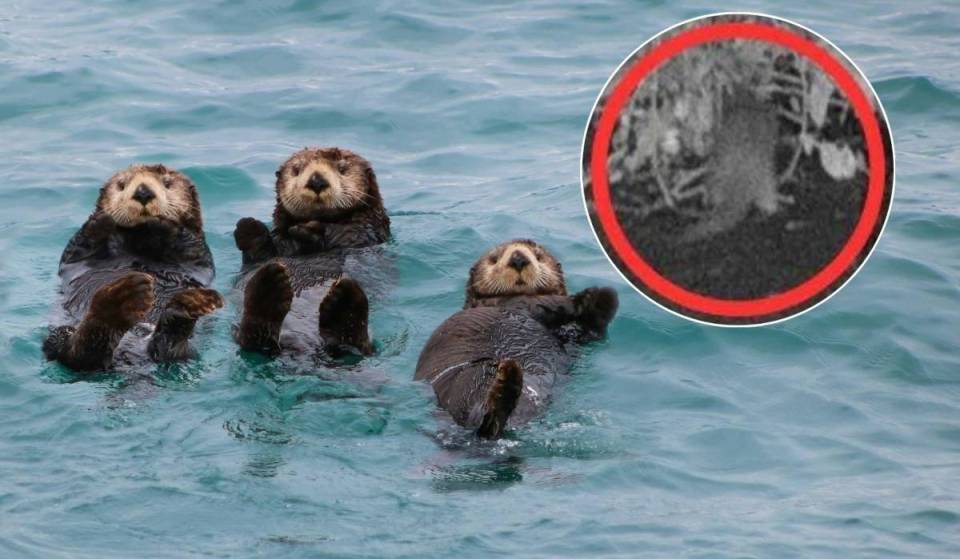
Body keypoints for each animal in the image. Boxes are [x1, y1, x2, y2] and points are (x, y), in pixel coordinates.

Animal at [43, 164, 222, 372]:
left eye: (167, 183)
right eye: (122, 184)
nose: (143, 192)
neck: (139, 240)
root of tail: (131, 355)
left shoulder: (198, 253)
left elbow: (189, 244)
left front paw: (162, 223)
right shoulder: (75, 256)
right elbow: (78, 246)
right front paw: (102, 219)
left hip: (188, 352)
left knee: (168, 351)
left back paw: (183, 308)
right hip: (58, 335)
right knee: (76, 354)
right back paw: (121, 301)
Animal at [232, 147, 390, 357]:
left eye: (342, 168)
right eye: (296, 169)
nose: (316, 181)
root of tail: (302, 345)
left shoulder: (364, 232)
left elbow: (345, 234)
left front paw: (308, 231)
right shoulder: (275, 247)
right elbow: (261, 253)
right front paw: (248, 227)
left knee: (358, 345)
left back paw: (344, 301)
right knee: (253, 338)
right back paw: (269, 285)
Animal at [414, 240, 618, 439]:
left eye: (538, 256)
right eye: (494, 259)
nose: (518, 258)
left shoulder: (573, 337)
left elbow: (591, 330)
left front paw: (598, 300)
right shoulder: (516, 302)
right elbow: (546, 303)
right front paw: (587, 297)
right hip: (465, 383)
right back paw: (505, 385)